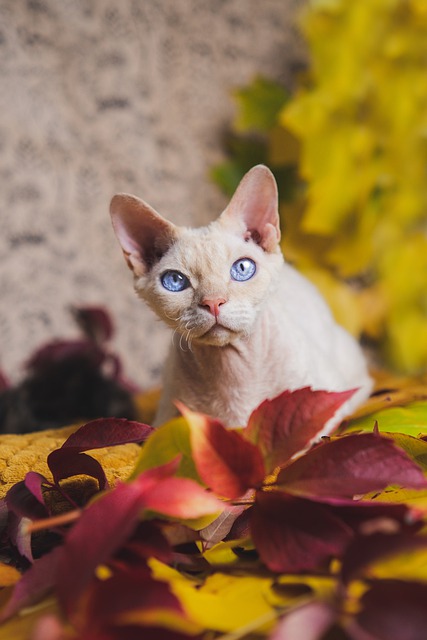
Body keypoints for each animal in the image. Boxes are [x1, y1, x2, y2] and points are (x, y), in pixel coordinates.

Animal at [111, 166, 374, 436]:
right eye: (175, 281)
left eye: (243, 268)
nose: (213, 302)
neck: (232, 372)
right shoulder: (165, 422)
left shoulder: (328, 405)